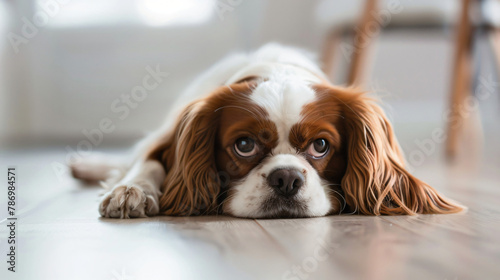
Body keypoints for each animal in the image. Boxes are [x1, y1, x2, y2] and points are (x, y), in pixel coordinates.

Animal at [69, 43, 460, 219]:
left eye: (320, 145)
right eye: (244, 145)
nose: (286, 178)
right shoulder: (169, 135)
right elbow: (149, 162)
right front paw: (131, 191)